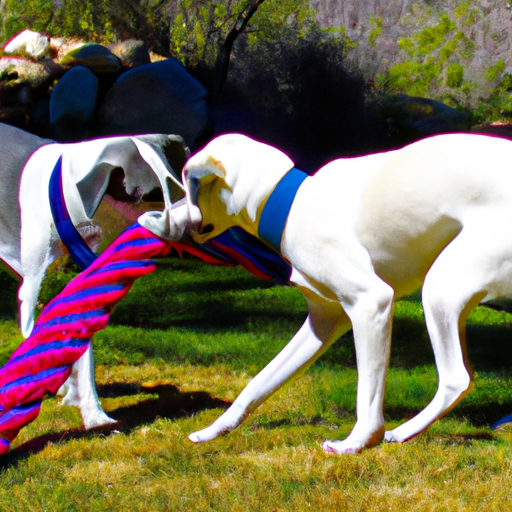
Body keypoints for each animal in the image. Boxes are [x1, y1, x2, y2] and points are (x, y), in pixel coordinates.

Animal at [154, 131, 512, 452]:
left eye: (189, 188)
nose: (163, 222)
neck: (291, 203)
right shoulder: (323, 322)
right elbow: (258, 383)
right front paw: (215, 430)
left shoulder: (371, 303)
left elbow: (367, 393)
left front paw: (358, 442)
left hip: (440, 289)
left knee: (455, 379)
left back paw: (402, 432)